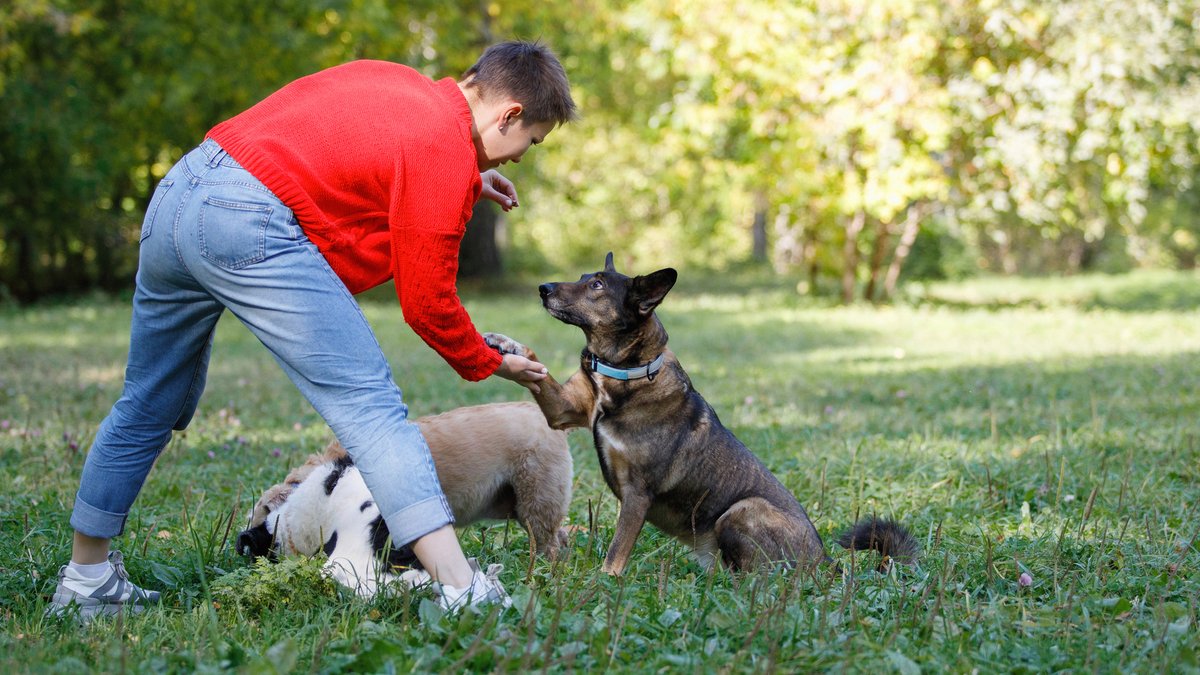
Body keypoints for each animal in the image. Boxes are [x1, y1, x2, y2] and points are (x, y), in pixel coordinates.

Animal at [482, 252, 912, 571]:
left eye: (597, 285)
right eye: (584, 276)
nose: (543, 289)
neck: (627, 373)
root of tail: (826, 563)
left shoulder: (637, 494)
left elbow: (616, 555)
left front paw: (602, 584)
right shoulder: (564, 410)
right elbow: (535, 366)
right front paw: (505, 344)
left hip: (740, 510)